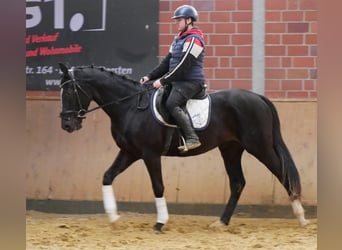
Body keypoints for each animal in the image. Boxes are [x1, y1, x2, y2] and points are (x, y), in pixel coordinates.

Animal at [57, 63, 308, 231]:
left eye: (69, 91)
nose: (67, 124)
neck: (129, 107)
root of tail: (258, 97)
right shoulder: (129, 152)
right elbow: (107, 176)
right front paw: (113, 218)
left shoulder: (150, 154)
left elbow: (158, 186)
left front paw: (160, 223)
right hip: (230, 149)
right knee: (238, 182)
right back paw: (221, 222)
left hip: (259, 147)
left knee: (282, 174)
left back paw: (301, 217)